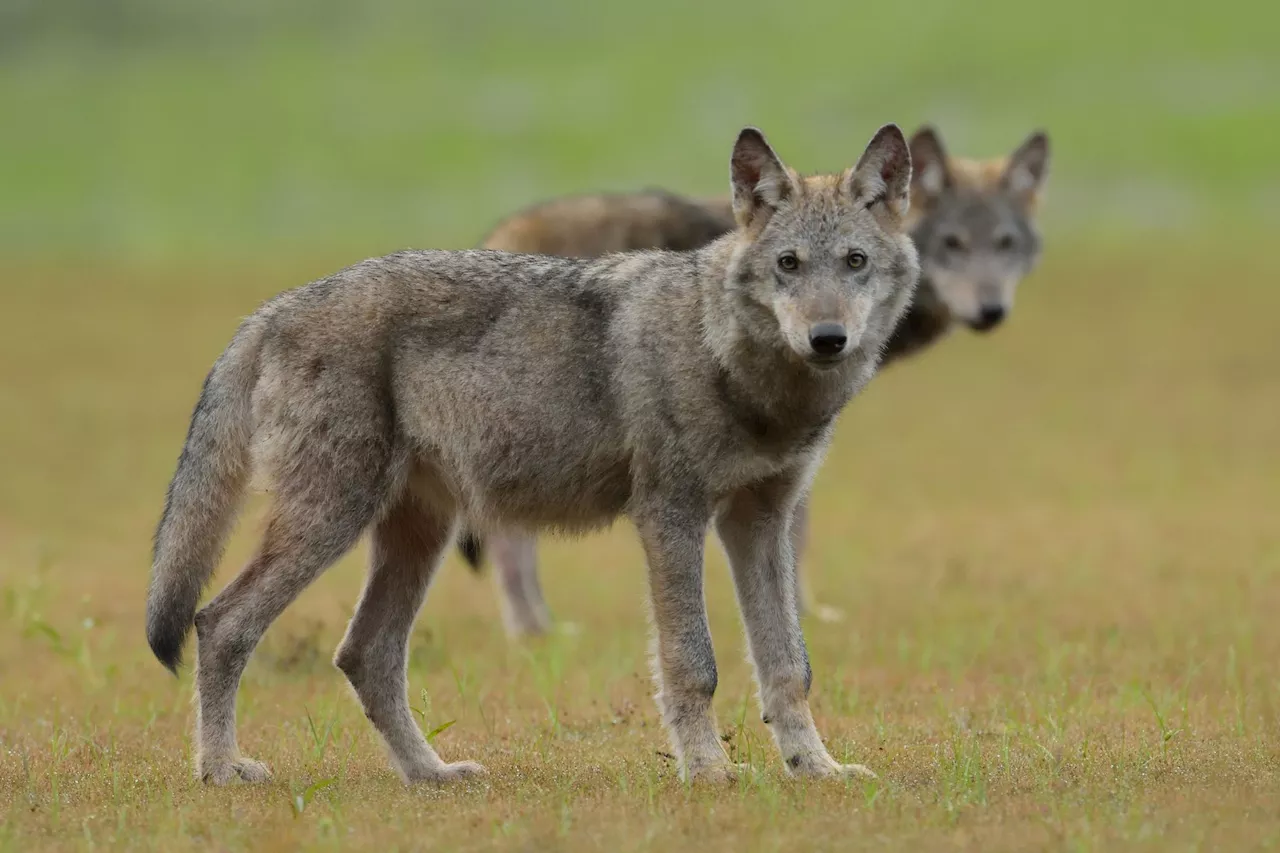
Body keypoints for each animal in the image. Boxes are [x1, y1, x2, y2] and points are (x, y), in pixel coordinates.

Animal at [147, 122, 921, 778]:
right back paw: (222, 771)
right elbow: (692, 663)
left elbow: (789, 665)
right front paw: (708, 772)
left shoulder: (760, 523)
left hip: (416, 536)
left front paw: (815, 770)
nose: (828, 338)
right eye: (789, 264)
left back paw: (431, 776)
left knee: (364, 655)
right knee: (219, 624)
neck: (736, 366)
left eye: (854, 262)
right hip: (333, 521)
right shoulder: (670, 516)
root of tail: (272, 309)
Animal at [460, 124, 1049, 630]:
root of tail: (500, 231)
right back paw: (535, 632)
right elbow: (798, 533)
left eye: (1004, 244)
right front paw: (808, 612)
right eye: (953, 244)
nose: (991, 311)